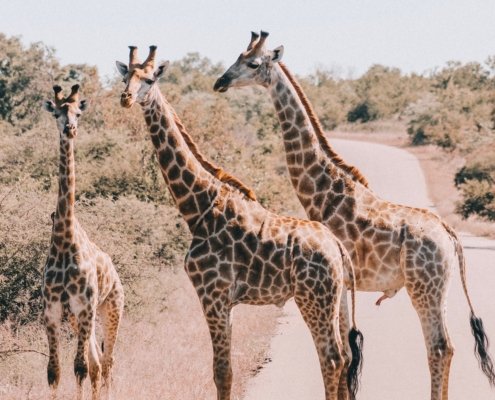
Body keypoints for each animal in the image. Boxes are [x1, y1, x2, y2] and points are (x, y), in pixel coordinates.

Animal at [41, 84, 125, 400]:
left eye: (78, 112)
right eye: (57, 113)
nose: (71, 129)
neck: (64, 241)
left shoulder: (84, 306)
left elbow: (78, 369)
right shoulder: (53, 311)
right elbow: (54, 372)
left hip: (111, 308)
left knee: (108, 361)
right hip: (81, 319)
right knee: (97, 363)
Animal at [116, 45, 364, 398]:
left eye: (149, 79)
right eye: (125, 77)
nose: (126, 98)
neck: (198, 206)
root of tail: (338, 249)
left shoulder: (213, 294)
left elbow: (222, 372)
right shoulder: (225, 301)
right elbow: (225, 370)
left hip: (313, 297)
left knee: (332, 358)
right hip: (338, 298)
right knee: (344, 358)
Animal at [214, 31, 495, 400]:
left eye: (253, 63)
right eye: (237, 57)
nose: (220, 81)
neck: (323, 192)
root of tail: (450, 234)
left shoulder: (339, 281)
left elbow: (345, 354)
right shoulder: (344, 285)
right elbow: (349, 354)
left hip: (424, 287)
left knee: (438, 347)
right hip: (439, 287)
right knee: (445, 347)